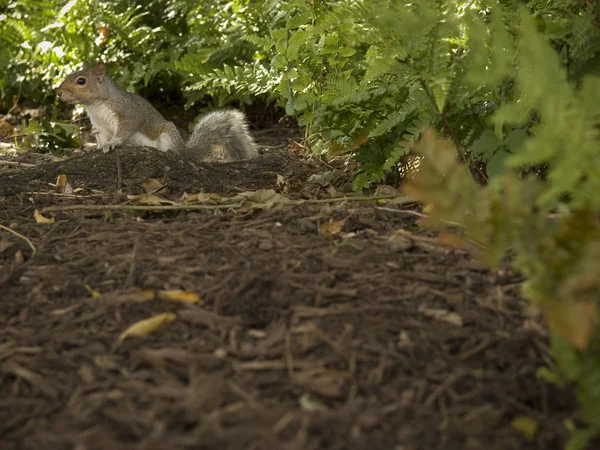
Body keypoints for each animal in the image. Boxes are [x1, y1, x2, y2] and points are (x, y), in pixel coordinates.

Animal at [53, 61, 255, 162]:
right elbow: (101, 138)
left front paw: (114, 143)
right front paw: (97, 147)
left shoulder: (128, 112)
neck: (95, 105)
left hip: (167, 135)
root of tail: (185, 153)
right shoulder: (99, 126)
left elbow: (126, 129)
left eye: (81, 81)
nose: (58, 92)